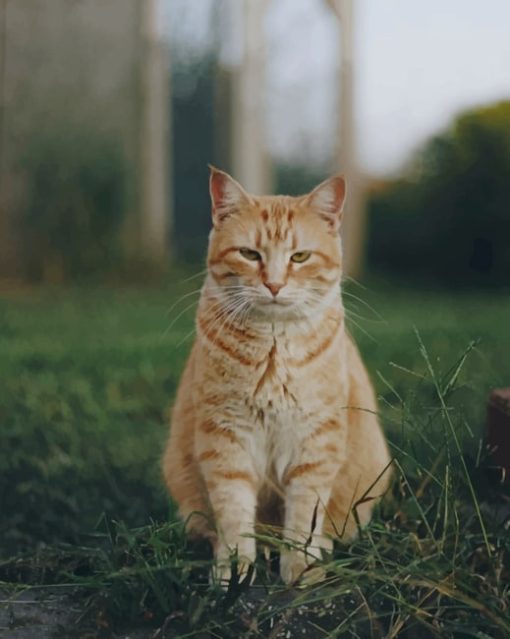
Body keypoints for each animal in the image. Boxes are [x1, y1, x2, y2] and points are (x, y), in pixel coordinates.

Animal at [163, 166, 390, 584]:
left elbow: (305, 515)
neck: (271, 351)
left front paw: (300, 566)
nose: (274, 284)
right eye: (249, 254)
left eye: (299, 257)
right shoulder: (226, 439)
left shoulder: (315, 440)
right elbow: (234, 516)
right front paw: (234, 569)